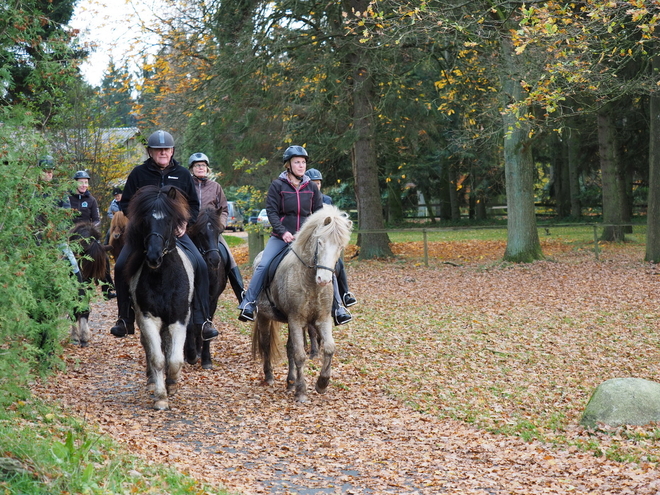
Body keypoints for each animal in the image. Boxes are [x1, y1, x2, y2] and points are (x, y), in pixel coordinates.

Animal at [124, 185, 193, 410]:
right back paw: (152, 381)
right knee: (149, 347)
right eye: (145, 221)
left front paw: (172, 384)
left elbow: (175, 359)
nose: (154, 257)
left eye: (169, 220)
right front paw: (161, 397)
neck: (163, 278)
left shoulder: (179, 319)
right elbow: (157, 358)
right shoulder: (148, 318)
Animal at [186, 207, 227, 370]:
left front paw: (206, 359)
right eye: (200, 233)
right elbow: (190, 325)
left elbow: (207, 322)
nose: (215, 260)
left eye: (219, 231)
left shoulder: (212, 299)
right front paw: (190, 354)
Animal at [250, 205, 354, 404]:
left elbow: (329, 348)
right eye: (320, 242)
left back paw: (290, 381)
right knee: (266, 344)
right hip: (264, 317)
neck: (310, 283)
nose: (324, 279)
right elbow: (300, 355)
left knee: (289, 348)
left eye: (340, 246)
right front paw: (301, 392)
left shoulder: (322, 319)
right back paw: (269, 376)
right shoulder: (296, 320)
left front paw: (322, 383)